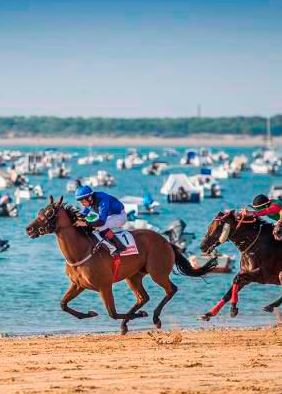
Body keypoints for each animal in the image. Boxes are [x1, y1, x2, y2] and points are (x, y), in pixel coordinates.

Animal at [25, 195, 216, 334]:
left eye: (49, 213)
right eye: (40, 211)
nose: (29, 229)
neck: (81, 250)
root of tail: (166, 241)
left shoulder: (104, 285)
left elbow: (112, 313)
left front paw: (137, 315)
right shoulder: (78, 284)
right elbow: (63, 304)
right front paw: (89, 313)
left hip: (158, 272)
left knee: (171, 290)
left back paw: (154, 318)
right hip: (133, 276)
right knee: (143, 297)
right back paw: (130, 321)